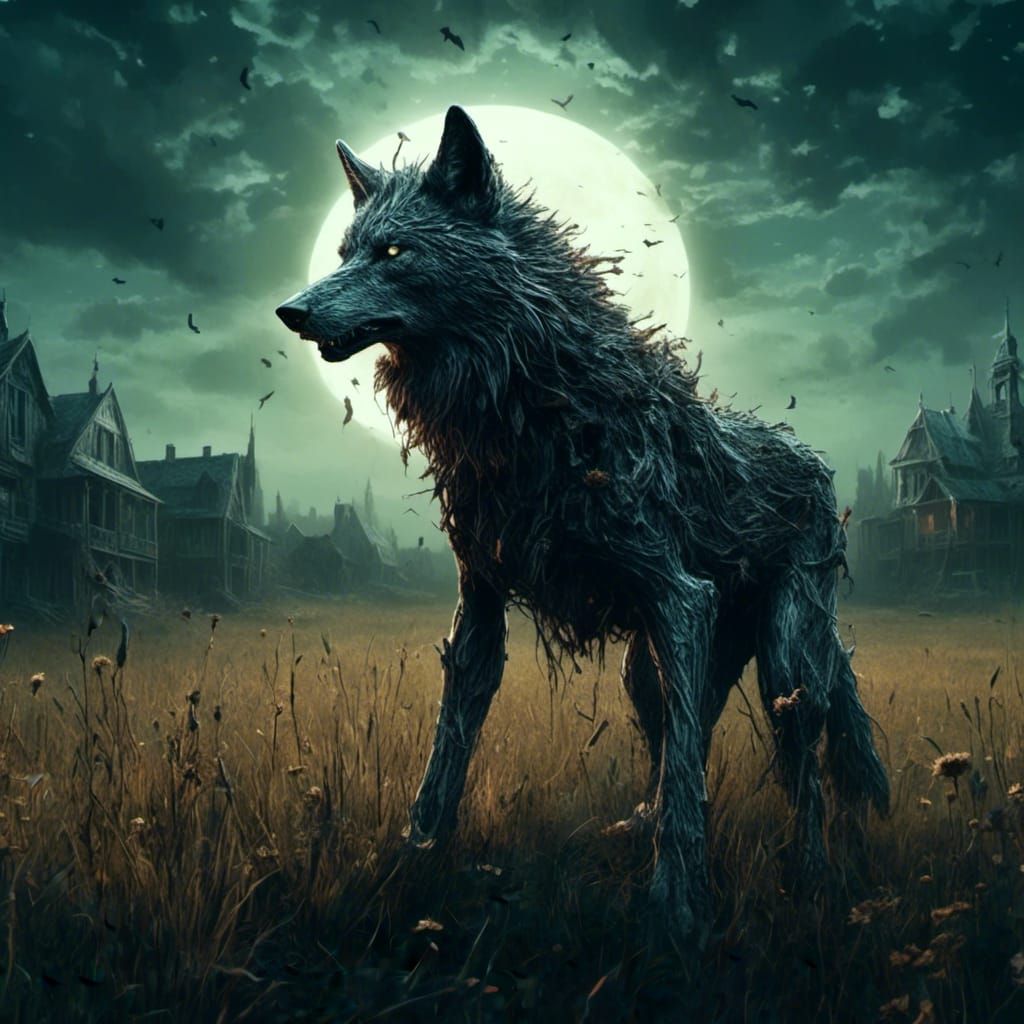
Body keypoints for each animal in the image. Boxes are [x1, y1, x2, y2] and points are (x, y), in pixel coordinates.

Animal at [276, 105, 890, 946]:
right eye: (342, 254)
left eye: (394, 252)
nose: (292, 311)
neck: (530, 409)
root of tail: (815, 461)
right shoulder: (480, 612)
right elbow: (444, 764)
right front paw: (408, 868)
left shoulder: (681, 599)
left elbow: (691, 791)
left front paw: (675, 912)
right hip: (647, 672)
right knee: (683, 740)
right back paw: (644, 825)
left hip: (784, 665)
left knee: (801, 776)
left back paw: (815, 881)